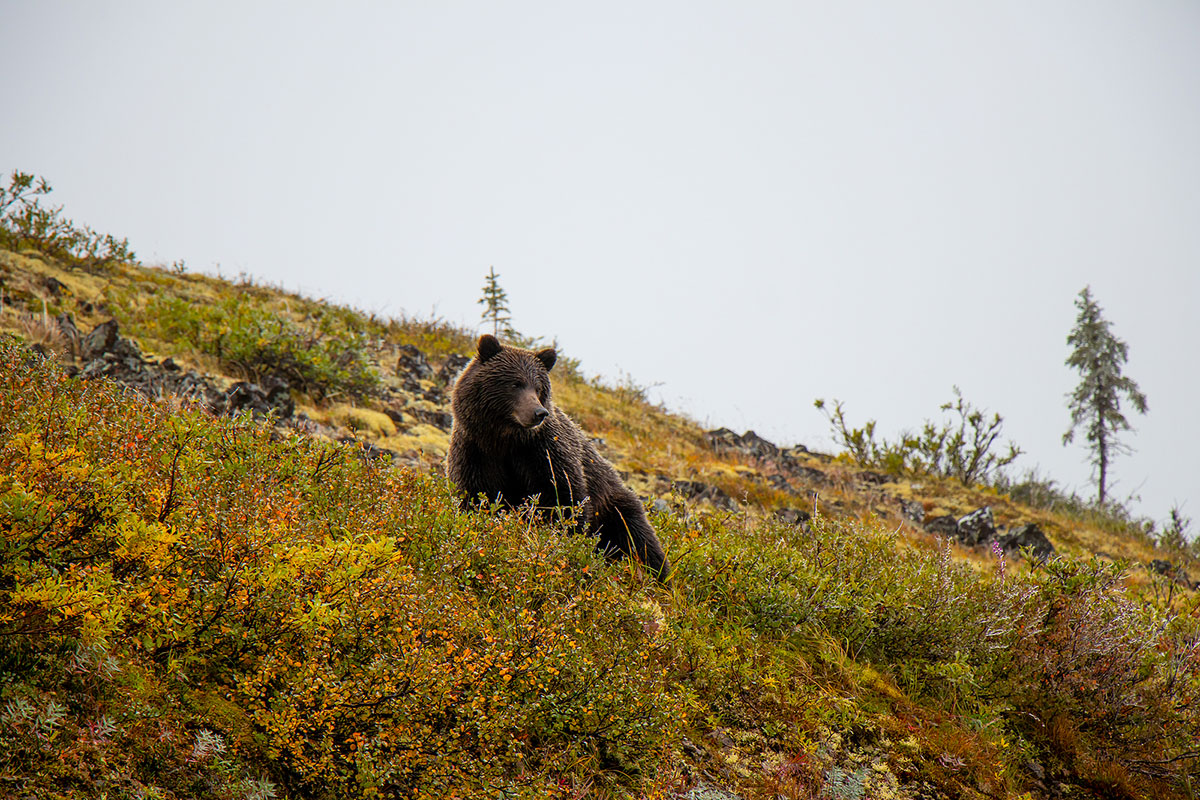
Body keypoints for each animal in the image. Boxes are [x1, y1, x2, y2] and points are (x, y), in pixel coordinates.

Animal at [451, 333, 672, 582]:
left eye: (538, 388)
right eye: (515, 383)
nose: (538, 413)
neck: (504, 440)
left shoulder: (544, 453)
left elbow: (564, 499)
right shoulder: (476, 453)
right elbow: (477, 498)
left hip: (614, 506)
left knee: (638, 539)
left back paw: (659, 576)